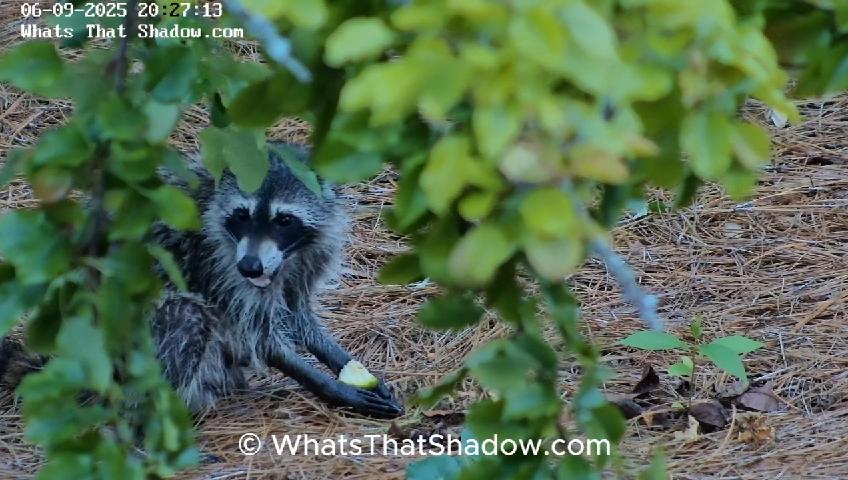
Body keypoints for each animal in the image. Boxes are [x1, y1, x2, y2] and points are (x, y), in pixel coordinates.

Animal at [1, 143, 403, 419]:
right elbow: (259, 335)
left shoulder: (311, 253)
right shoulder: (216, 261)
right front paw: (328, 385)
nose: (251, 267)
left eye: (283, 220)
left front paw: (338, 359)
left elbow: (298, 313)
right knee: (186, 314)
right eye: (242, 215)